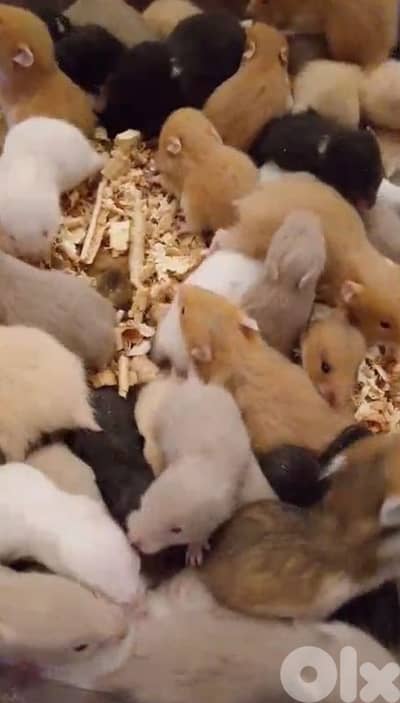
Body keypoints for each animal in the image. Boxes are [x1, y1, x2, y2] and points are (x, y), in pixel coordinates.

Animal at [127, 374, 269, 565]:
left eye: (176, 530)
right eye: (145, 501)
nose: (133, 539)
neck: (205, 460)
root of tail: (195, 384)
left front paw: (196, 546)